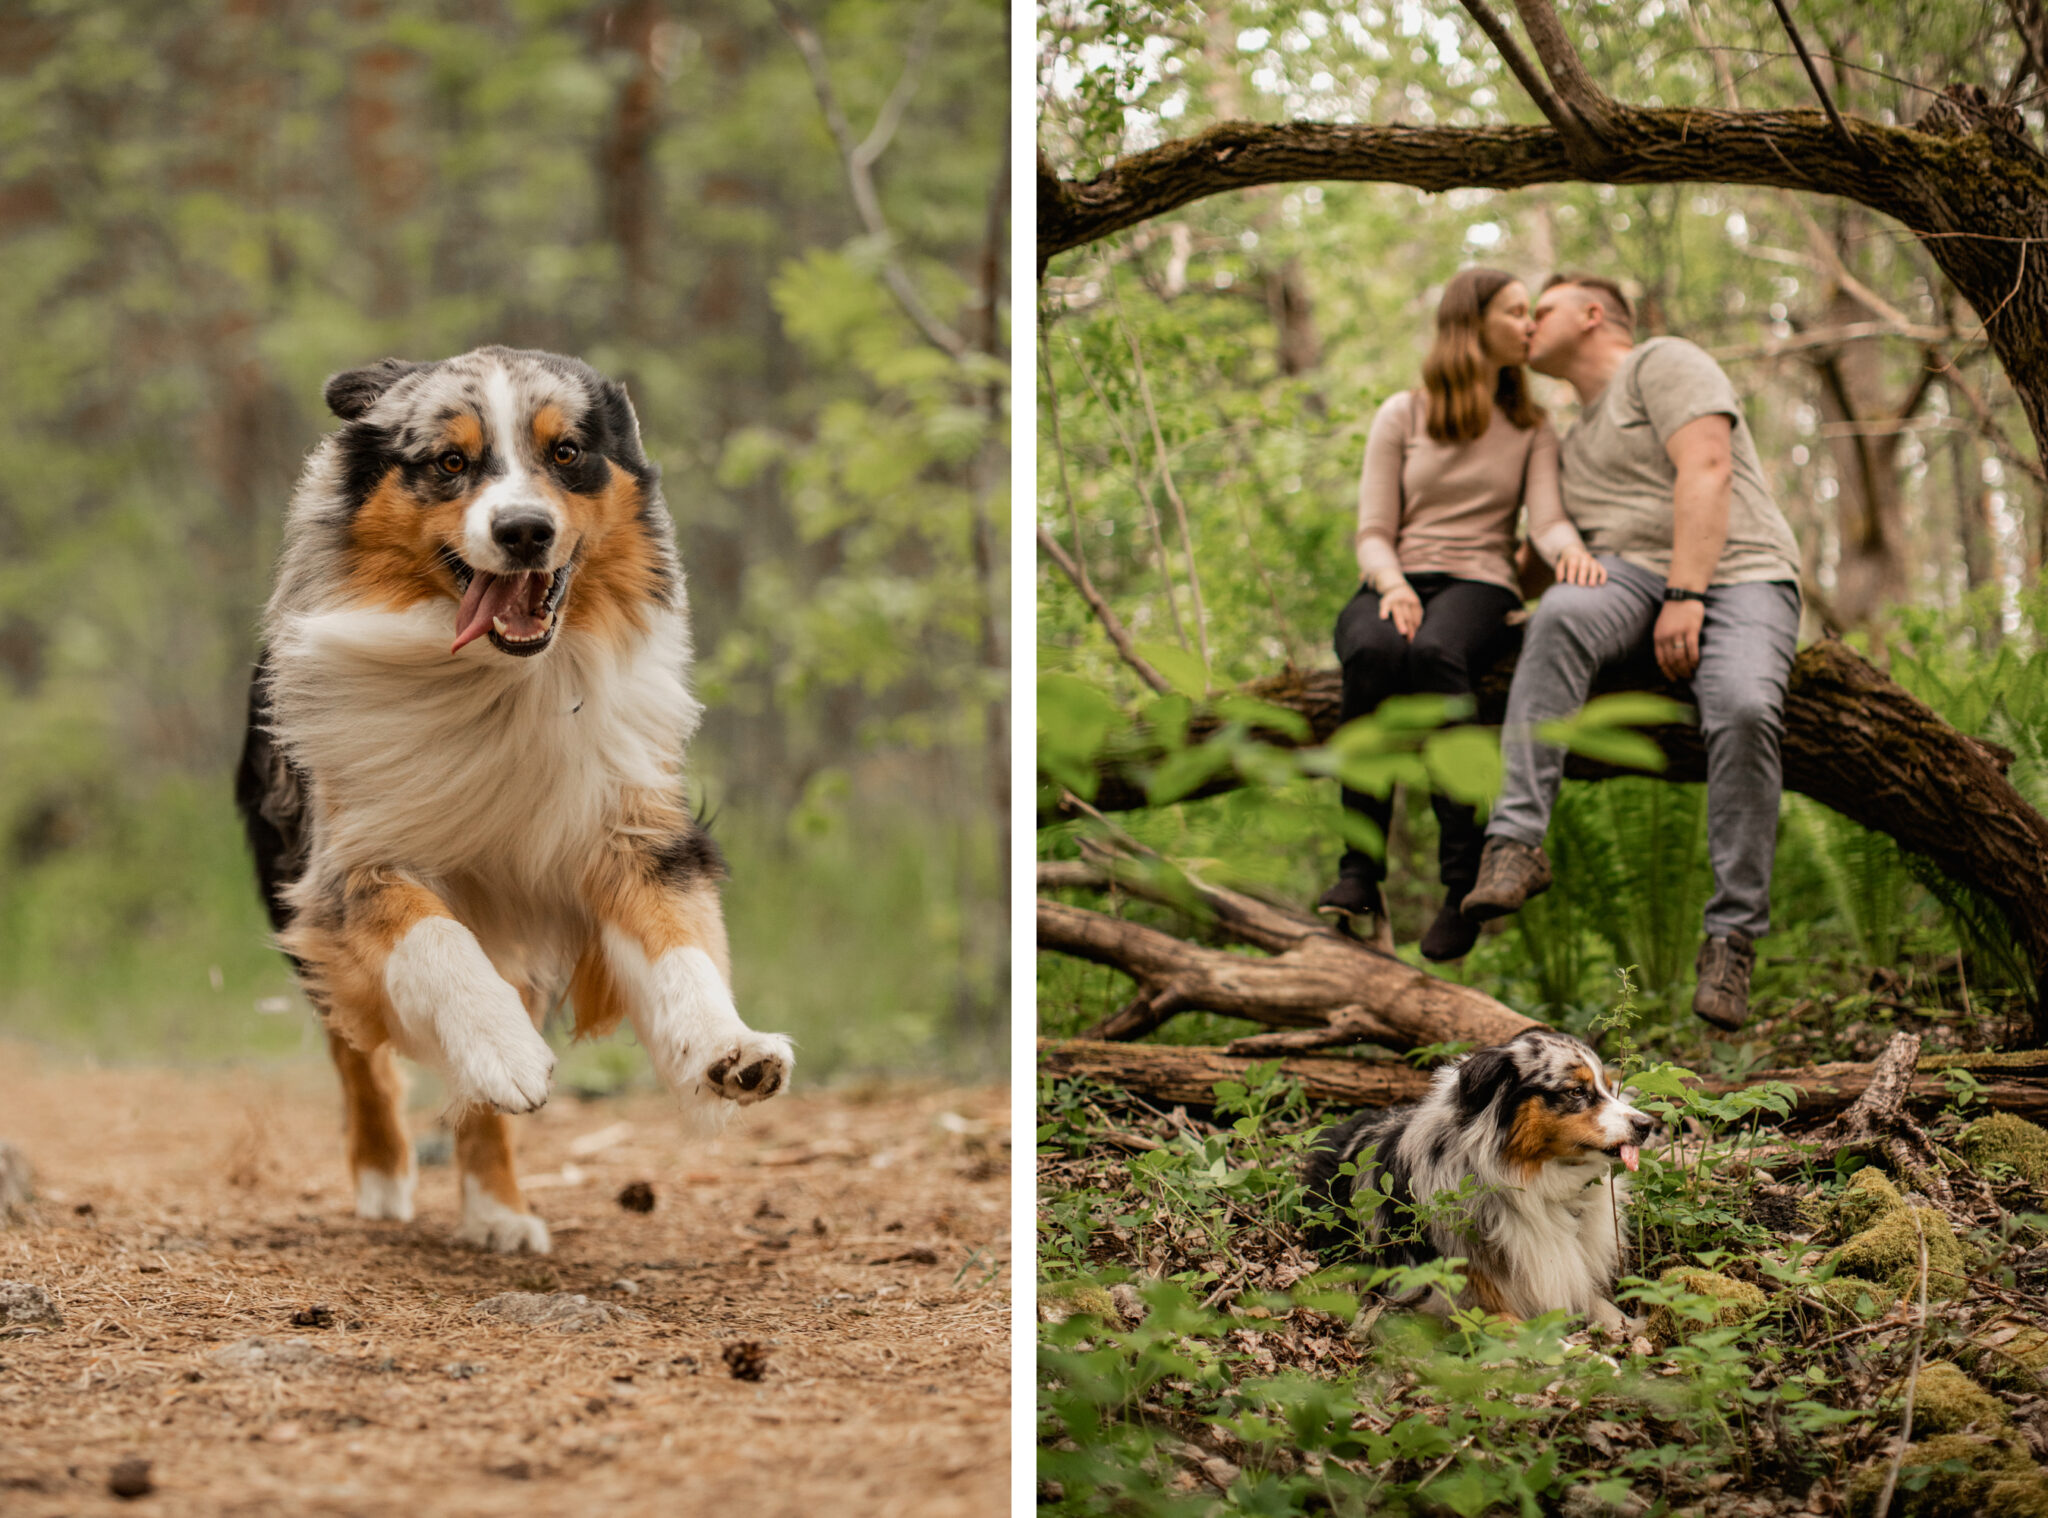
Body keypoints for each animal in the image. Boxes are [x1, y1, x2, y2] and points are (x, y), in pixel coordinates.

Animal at [234, 350, 790, 1245]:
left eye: (566, 453)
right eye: (448, 463)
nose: (524, 530)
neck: (502, 685)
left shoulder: (629, 834)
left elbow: (682, 944)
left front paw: (725, 1048)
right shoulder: (346, 867)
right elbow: (433, 940)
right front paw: (506, 1049)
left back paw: (498, 1210)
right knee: (355, 1052)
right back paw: (385, 1175)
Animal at [1302, 1028, 1654, 1327]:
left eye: (1607, 1087)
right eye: (1577, 1091)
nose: (1646, 1125)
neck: (1534, 1185)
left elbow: (1603, 1307)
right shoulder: (1453, 1298)